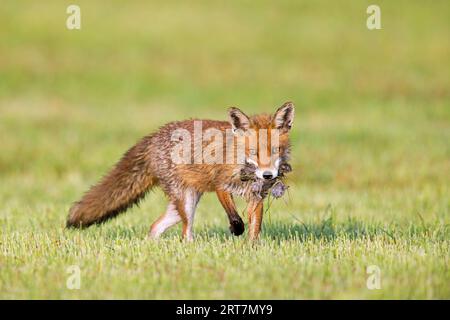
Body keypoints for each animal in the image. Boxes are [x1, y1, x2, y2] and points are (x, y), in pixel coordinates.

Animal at [65, 102, 294, 240]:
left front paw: (250, 248)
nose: (267, 175)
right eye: (253, 152)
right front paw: (236, 229)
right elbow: (234, 215)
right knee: (185, 233)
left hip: (181, 206)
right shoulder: (220, 184)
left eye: (276, 151)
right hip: (185, 202)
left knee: (155, 227)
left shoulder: (257, 196)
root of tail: (153, 136)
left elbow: (255, 228)